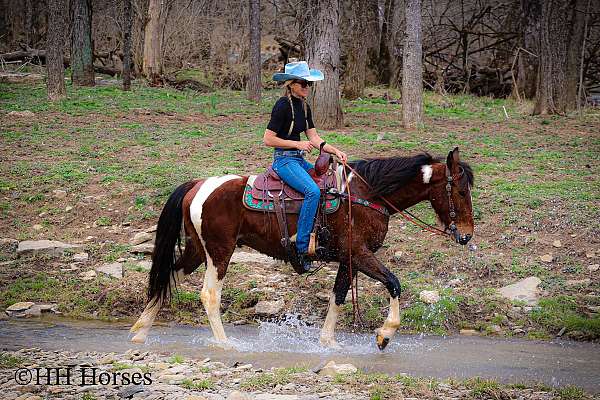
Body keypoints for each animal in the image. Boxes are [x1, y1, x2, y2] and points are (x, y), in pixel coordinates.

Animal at [130, 147, 474, 350]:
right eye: (459, 190)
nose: (467, 235)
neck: (364, 196)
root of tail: (199, 184)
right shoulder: (361, 254)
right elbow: (393, 283)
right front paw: (384, 334)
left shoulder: (348, 260)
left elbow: (338, 297)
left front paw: (328, 342)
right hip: (219, 252)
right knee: (209, 295)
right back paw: (226, 344)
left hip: (197, 250)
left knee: (166, 276)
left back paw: (141, 330)